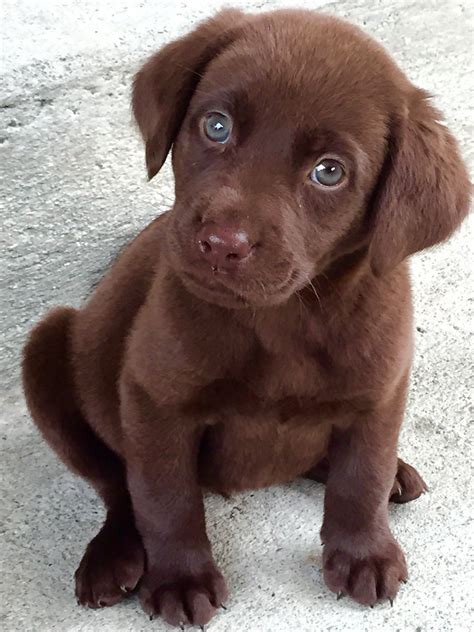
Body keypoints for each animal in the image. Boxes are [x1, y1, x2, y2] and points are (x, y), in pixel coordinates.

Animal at [21, 8, 466, 628]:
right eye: (216, 126)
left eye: (329, 172)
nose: (220, 242)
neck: (285, 318)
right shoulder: (154, 398)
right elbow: (165, 497)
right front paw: (181, 579)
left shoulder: (382, 387)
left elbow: (363, 474)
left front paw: (364, 552)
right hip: (47, 347)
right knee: (116, 483)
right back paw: (112, 556)